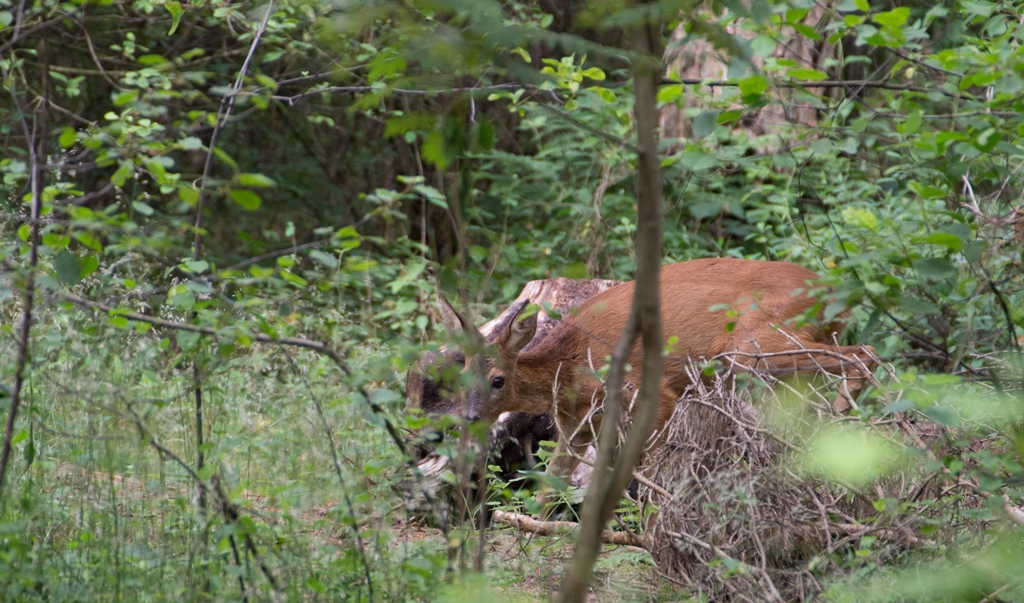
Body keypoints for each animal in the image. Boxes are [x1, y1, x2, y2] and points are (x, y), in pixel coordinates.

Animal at [440, 255, 880, 487]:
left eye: (498, 380)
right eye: (459, 380)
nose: (470, 417)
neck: (568, 369)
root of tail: (838, 293)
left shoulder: (652, 396)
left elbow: (649, 472)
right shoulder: (576, 429)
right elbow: (552, 486)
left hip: (755, 346)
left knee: (867, 352)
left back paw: (843, 414)